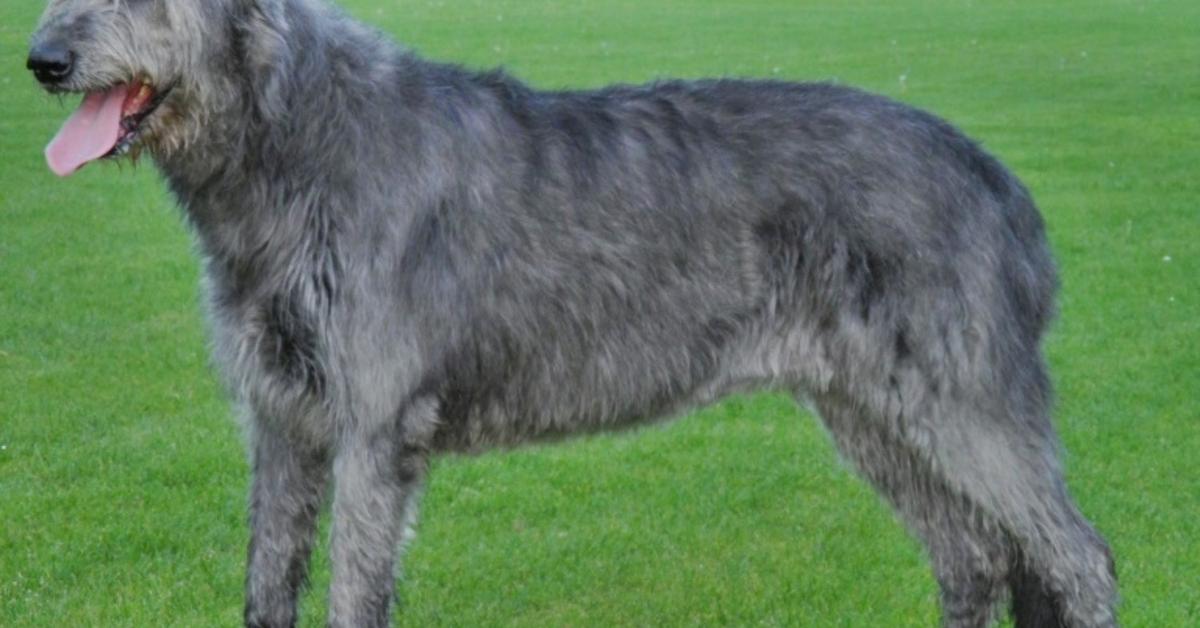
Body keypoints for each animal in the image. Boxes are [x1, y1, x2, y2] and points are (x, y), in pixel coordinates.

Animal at [28, 1, 1113, 628]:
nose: (42, 56)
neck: (295, 139)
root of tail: (999, 181)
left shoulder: (375, 429)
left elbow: (354, 591)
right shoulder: (283, 421)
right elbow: (267, 585)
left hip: (963, 399)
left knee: (1078, 560)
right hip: (871, 409)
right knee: (974, 558)